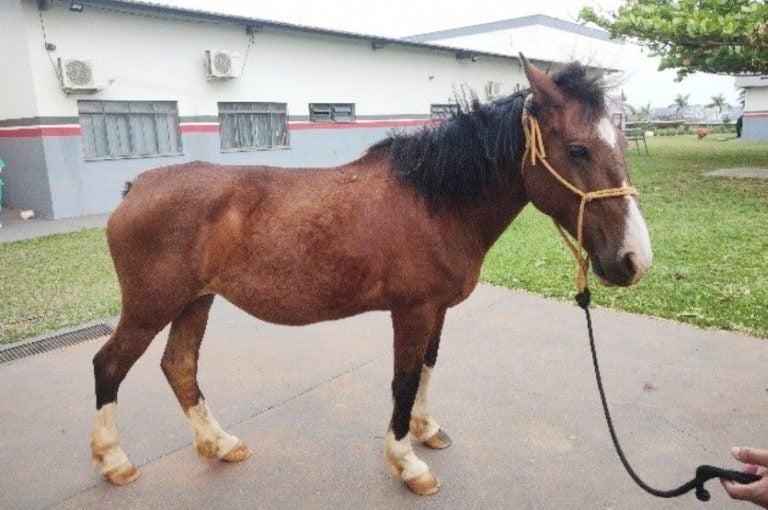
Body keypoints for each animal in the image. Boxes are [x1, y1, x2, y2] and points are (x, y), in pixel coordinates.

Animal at [90, 55, 653, 496]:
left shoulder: (437, 310)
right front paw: (407, 463)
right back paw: (115, 461)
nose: (634, 259)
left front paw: (426, 430)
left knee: (179, 366)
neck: (435, 200)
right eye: (577, 149)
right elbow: (403, 380)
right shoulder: (412, 310)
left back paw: (219, 443)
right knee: (109, 366)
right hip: (150, 307)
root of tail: (138, 185)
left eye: (623, 142)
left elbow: (427, 367)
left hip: (195, 301)